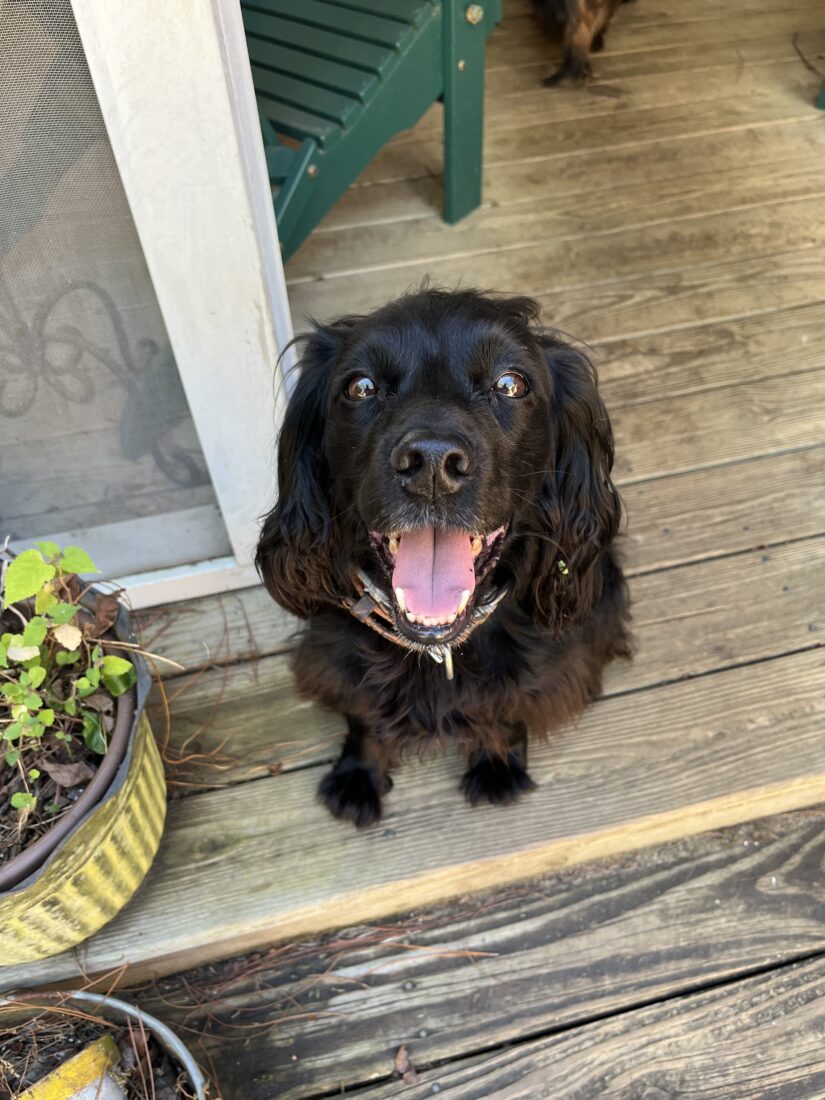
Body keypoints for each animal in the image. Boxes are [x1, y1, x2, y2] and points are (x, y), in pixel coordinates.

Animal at [258, 288, 633, 827]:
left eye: (510, 383)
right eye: (361, 386)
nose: (432, 465)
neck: (438, 648)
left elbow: (505, 706)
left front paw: (497, 764)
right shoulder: (340, 660)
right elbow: (363, 715)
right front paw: (358, 774)